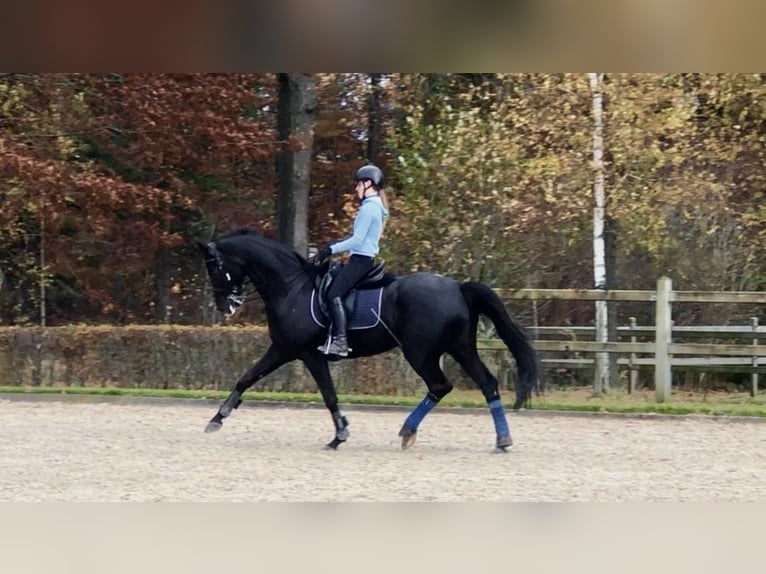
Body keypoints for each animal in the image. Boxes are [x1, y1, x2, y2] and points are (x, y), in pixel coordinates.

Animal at [197, 229, 539, 452]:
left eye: (215, 268)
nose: (225, 306)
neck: (291, 288)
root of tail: (458, 287)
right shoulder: (287, 350)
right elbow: (247, 379)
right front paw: (217, 418)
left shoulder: (301, 352)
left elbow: (326, 395)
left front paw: (339, 436)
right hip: (460, 348)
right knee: (487, 383)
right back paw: (501, 439)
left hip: (421, 353)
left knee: (441, 385)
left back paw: (409, 430)